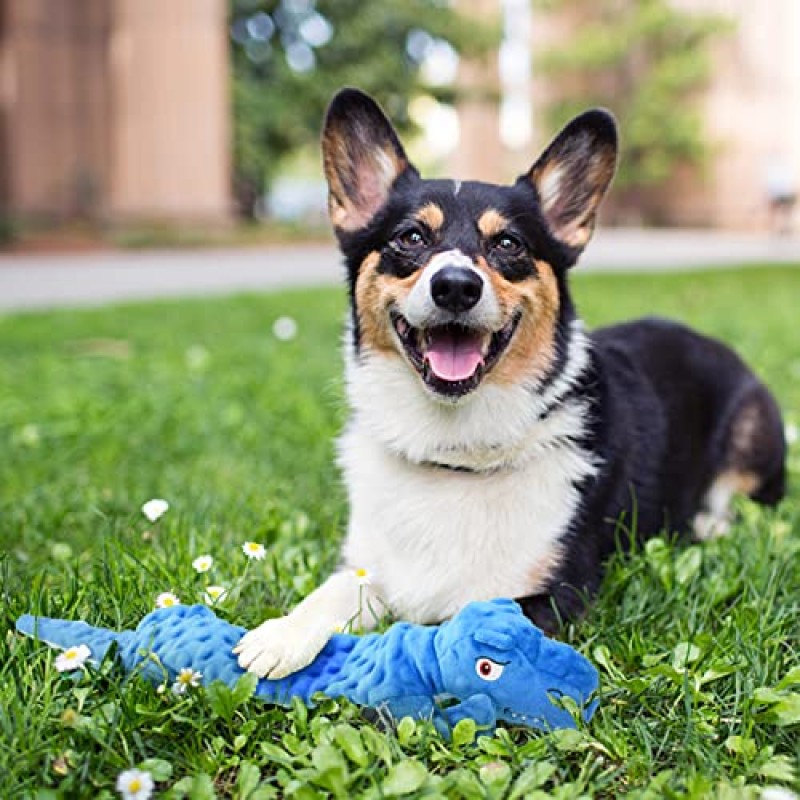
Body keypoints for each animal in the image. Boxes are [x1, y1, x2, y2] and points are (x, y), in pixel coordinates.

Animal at [233, 89, 788, 680]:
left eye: (507, 243)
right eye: (410, 237)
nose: (456, 286)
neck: (453, 451)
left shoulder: (552, 594)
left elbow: (451, 626)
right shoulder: (368, 567)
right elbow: (334, 592)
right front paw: (281, 635)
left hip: (752, 436)